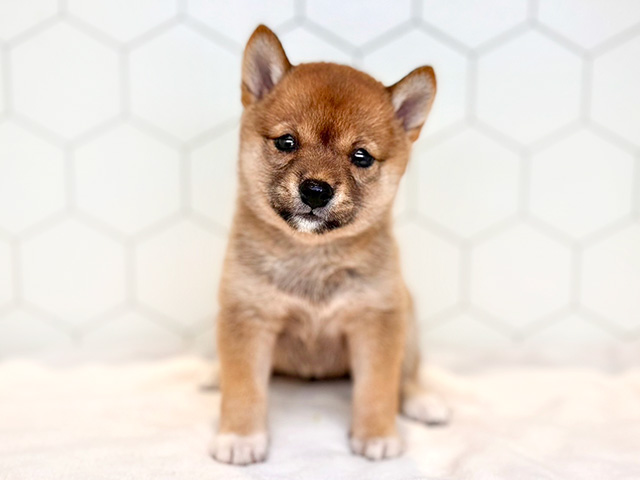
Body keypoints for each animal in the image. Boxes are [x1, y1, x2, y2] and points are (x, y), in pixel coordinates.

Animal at [211, 24, 450, 464]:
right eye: (287, 142)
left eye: (361, 156)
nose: (316, 190)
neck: (311, 257)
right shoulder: (248, 318)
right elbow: (243, 388)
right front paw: (240, 437)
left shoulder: (376, 321)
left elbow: (377, 387)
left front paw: (376, 435)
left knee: (406, 376)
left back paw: (423, 402)